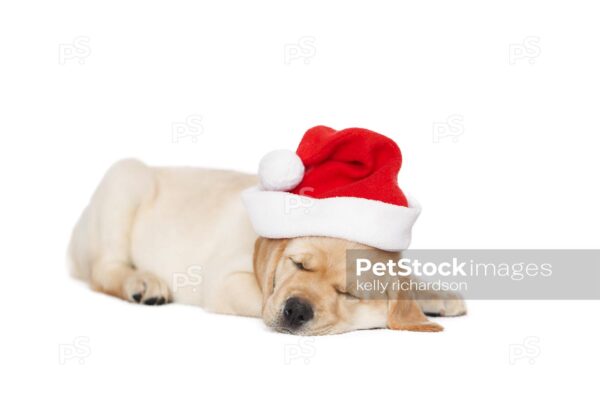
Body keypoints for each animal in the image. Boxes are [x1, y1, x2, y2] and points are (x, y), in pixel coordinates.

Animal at [68, 159, 466, 334]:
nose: (296, 310)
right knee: (104, 270)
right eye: (298, 264)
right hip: (124, 180)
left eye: (348, 292)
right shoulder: (226, 282)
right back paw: (141, 283)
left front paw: (432, 294)